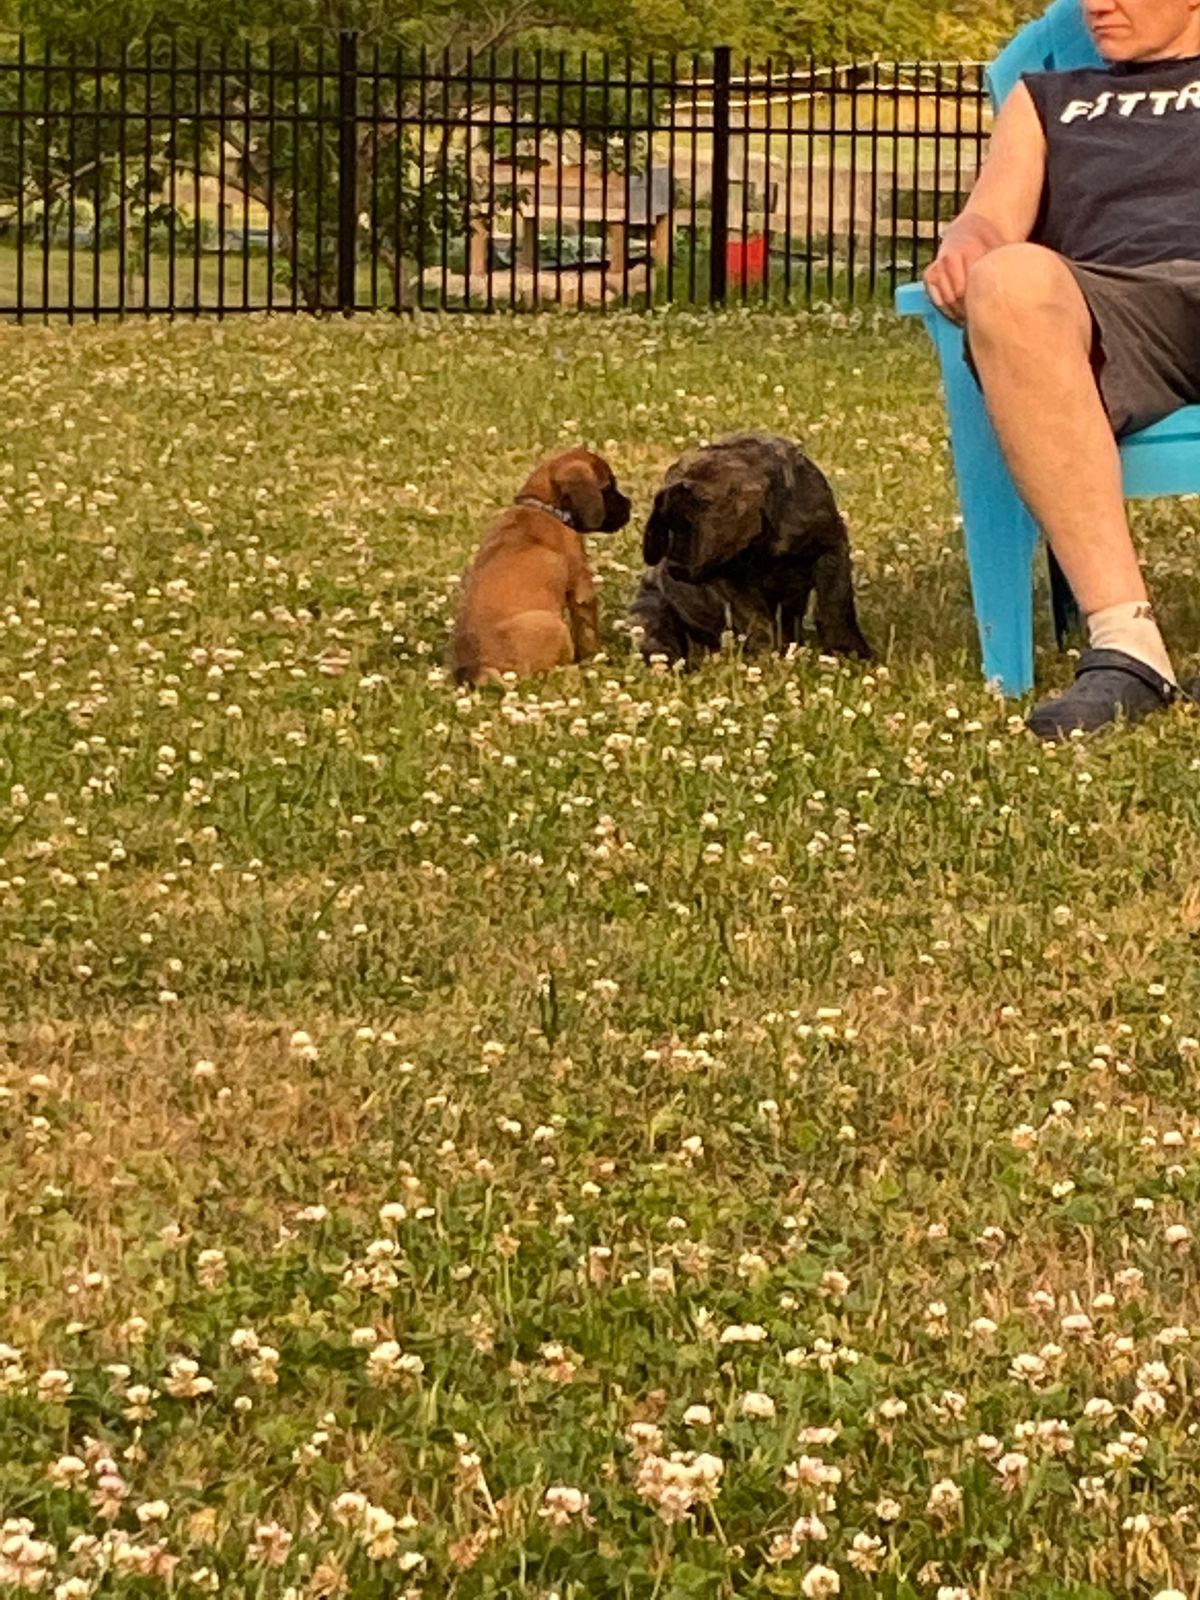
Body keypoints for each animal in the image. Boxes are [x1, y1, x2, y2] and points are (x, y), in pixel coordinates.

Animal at [449, 448, 631, 686]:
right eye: (608, 487)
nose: (629, 505)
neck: (545, 507)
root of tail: (477, 669)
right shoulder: (582, 588)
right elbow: (588, 632)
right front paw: (597, 658)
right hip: (554, 626)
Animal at [627, 433, 871, 666]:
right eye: (669, 527)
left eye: (689, 525)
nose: (674, 568)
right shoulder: (733, 581)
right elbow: (757, 620)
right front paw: (769, 658)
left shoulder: (831, 549)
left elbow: (835, 604)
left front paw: (847, 651)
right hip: (650, 613)